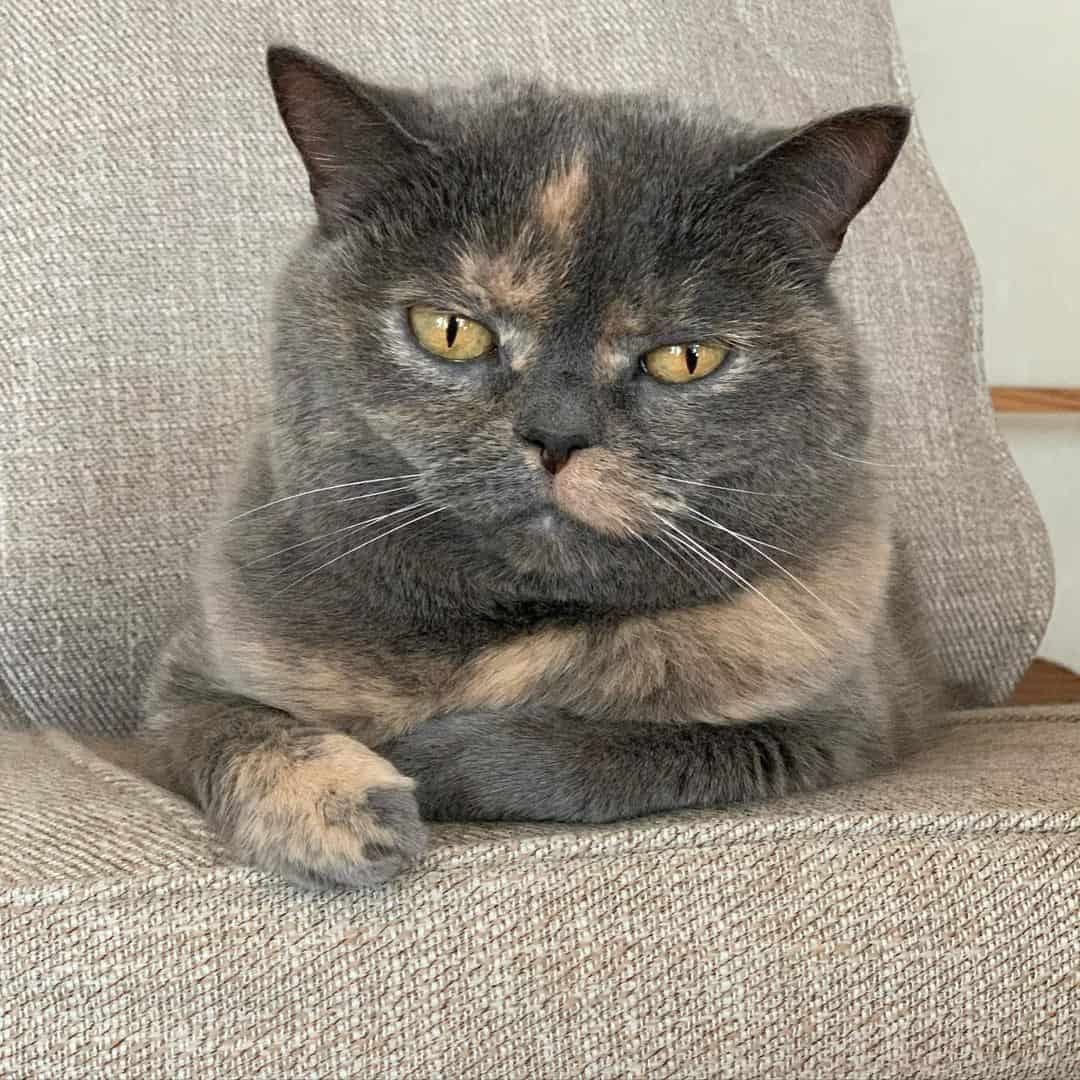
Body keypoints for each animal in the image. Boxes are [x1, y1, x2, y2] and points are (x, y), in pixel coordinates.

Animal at [139, 44, 941, 885]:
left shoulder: (836, 725)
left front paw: (420, 759)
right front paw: (340, 816)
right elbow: (240, 725)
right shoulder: (182, 685)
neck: (506, 633)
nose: (556, 435)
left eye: (687, 357)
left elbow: (597, 750)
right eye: (450, 329)